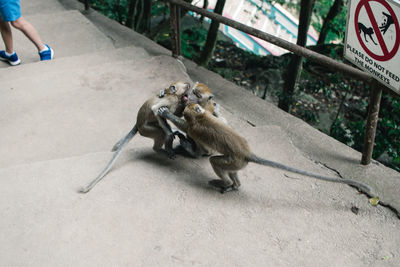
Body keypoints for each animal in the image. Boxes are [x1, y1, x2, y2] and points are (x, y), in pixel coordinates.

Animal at [181, 103, 372, 195]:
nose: (189, 102)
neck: (200, 117)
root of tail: (247, 153)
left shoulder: (194, 129)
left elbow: (197, 141)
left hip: (233, 160)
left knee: (216, 162)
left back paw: (227, 183)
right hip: (238, 162)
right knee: (232, 170)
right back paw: (235, 185)